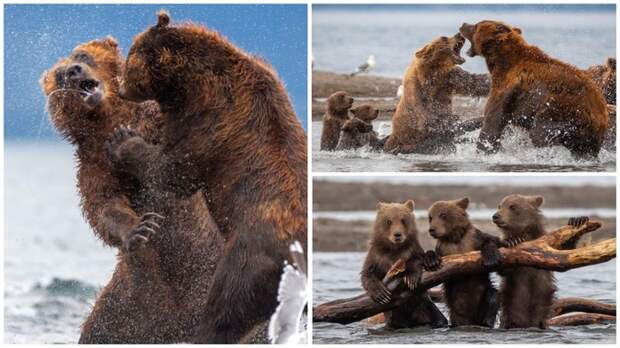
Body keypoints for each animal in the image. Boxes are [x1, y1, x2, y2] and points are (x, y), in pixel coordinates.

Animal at [39, 37, 223, 342]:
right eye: (60, 75)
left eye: (82, 55)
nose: (74, 71)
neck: (107, 119)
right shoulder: (94, 167)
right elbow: (104, 206)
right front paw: (140, 228)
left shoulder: (158, 122)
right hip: (126, 308)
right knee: (100, 331)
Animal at [113, 12, 308, 344]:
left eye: (130, 57)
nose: (118, 84)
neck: (187, 88)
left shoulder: (211, 128)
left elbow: (171, 172)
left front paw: (123, 138)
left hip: (248, 255)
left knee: (224, 309)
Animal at [428, 197, 502, 328]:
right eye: (430, 217)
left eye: (443, 214)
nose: (432, 229)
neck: (454, 238)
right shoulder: (443, 248)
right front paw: (432, 260)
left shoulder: (473, 238)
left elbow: (492, 240)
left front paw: (491, 257)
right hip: (455, 311)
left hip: (482, 297)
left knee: (492, 294)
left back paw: (488, 320)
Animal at [458, 20, 608, 159]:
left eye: (476, 25)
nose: (463, 24)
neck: (501, 61)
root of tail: (602, 110)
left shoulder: (507, 86)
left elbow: (492, 119)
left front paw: (484, 149)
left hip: (564, 107)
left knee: (540, 132)